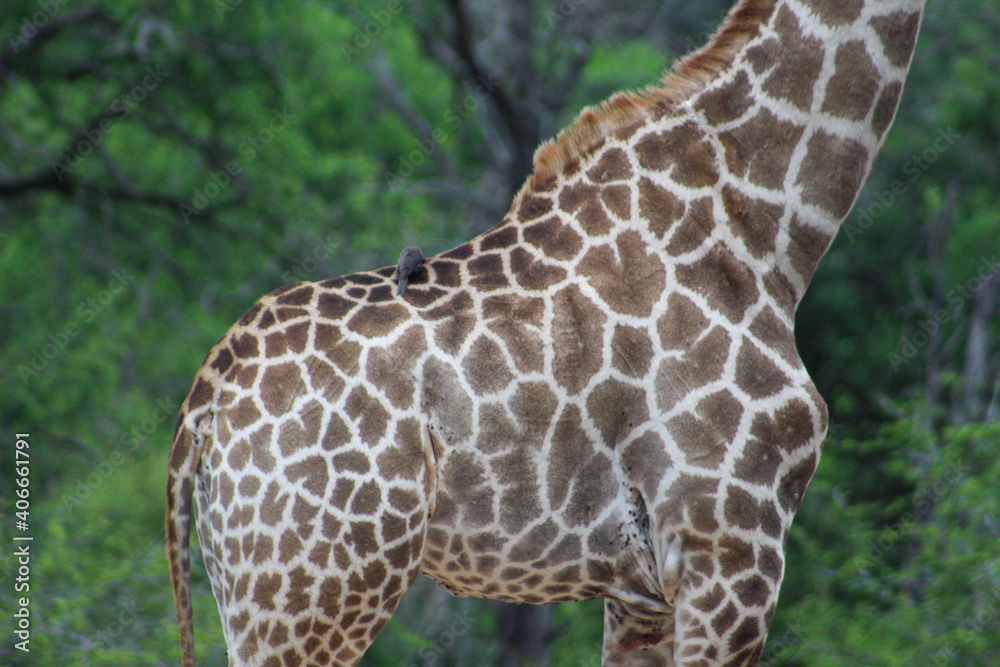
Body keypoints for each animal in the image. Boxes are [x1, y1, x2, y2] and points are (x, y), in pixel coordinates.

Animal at [168, 1, 924, 664]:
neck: (760, 229)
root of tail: (208, 398)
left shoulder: (643, 592)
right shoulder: (733, 541)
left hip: (255, 587)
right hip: (315, 588)